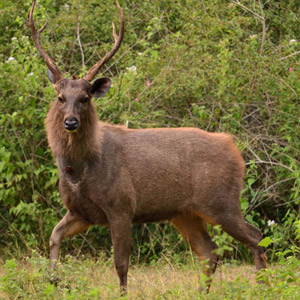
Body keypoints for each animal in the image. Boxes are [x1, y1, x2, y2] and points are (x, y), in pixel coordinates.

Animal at [28, 0, 268, 294]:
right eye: (60, 97)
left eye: (85, 98)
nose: (70, 122)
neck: (80, 169)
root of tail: (234, 148)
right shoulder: (80, 212)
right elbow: (54, 236)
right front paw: (52, 280)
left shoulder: (121, 205)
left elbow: (120, 263)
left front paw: (122, 295)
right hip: (185, 213)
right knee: (210, 252)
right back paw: (202, 292)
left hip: (220, 200)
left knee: (255, 237)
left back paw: (263, 286)